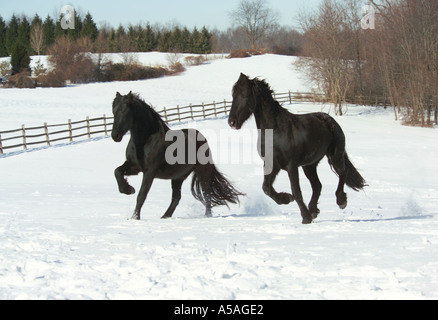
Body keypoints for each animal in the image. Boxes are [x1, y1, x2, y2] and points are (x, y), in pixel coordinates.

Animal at [112, 91, 243, 219]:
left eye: (125, 112)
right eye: (113, 111)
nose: (115, 136)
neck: (145, 141)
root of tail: (202, 137)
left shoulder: (149, 171)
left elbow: (142, 194)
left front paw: (135, 217)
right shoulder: (134, 167)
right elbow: (117, 171)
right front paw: (128, 189)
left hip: (202, 172)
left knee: (207, 194)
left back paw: (207, 216)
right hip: (178, 177)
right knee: (177, 197)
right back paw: (165, 216)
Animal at [228, 74, 368, 224]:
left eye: (244, 94)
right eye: (233, 94)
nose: (232, 122)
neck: (275, 132)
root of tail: (330, 120)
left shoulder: (291, 166)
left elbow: (296, 191)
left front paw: (305, 217)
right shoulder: (272, 165)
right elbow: (266, 188)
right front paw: (286, 199)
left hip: (335, 156)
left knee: (342, 173)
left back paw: (340, 201)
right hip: (309, 165)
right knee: (317, 186)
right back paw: (313, 210)